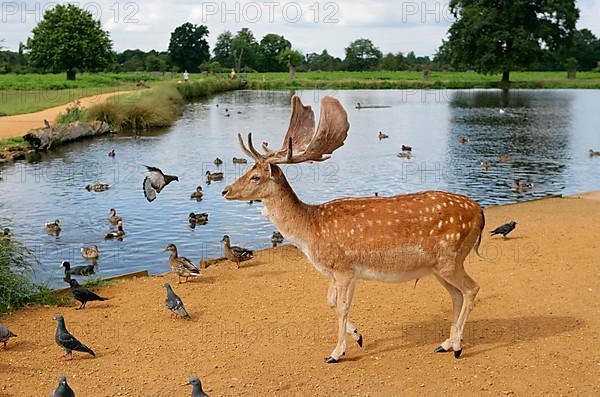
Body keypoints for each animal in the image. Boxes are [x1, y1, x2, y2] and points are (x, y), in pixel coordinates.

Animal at [223, 94, 486, 360]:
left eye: (256, 176)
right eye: (248, 169)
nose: (225, 190)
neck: (310, 231)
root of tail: (480, 211)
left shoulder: (344, 268)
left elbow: (341, 307)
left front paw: (337, 352)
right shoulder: (335, 272)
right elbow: (330, 301)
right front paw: (358, 337)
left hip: (450, 259)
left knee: (471, 289)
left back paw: (458, 346)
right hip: (437, 266)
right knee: (456, 295)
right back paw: (446, 343)